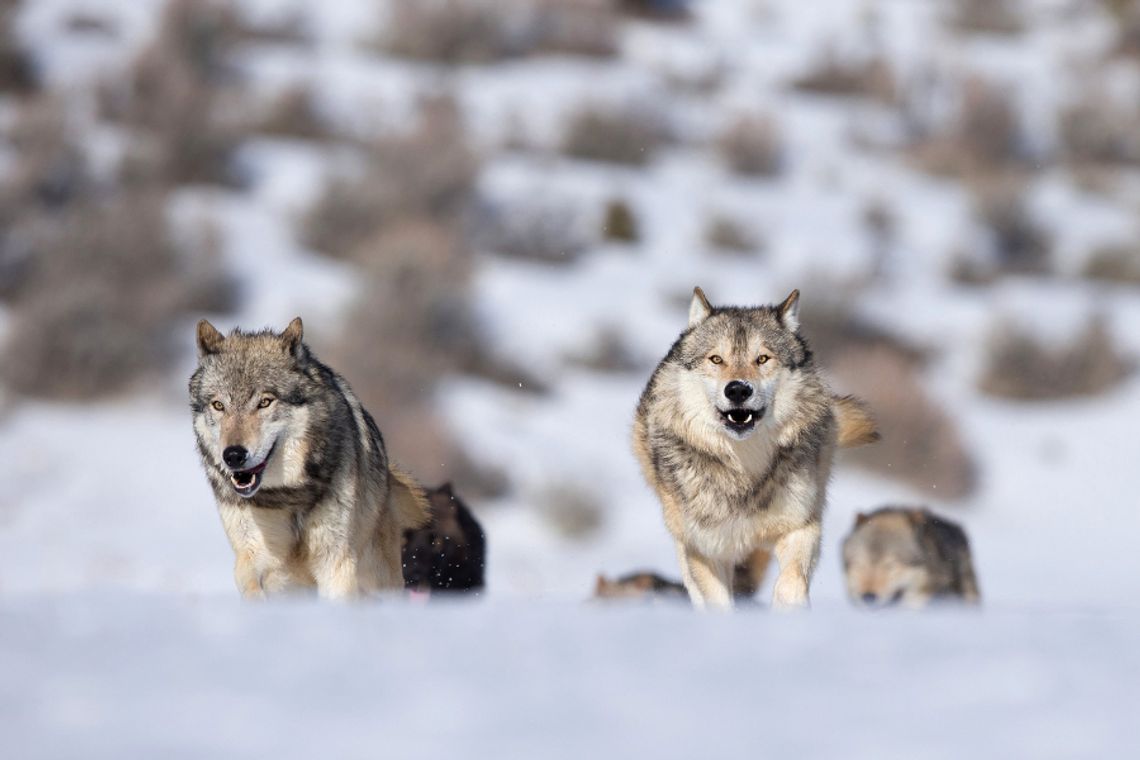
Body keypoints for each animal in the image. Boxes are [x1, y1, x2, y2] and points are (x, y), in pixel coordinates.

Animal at [189, 316, 428, 601]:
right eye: (218, 405)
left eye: (265, 402)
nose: (233, 455)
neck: (287, 496)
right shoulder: (253, 555)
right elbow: (250, 581)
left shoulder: (335, 563)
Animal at [633, 288, 880, 610]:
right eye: (716, 359)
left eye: (762, 358)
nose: (738, 389)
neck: (744, 469)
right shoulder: (705, 548)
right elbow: (719, 603)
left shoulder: (801, 525)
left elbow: (791, 581)